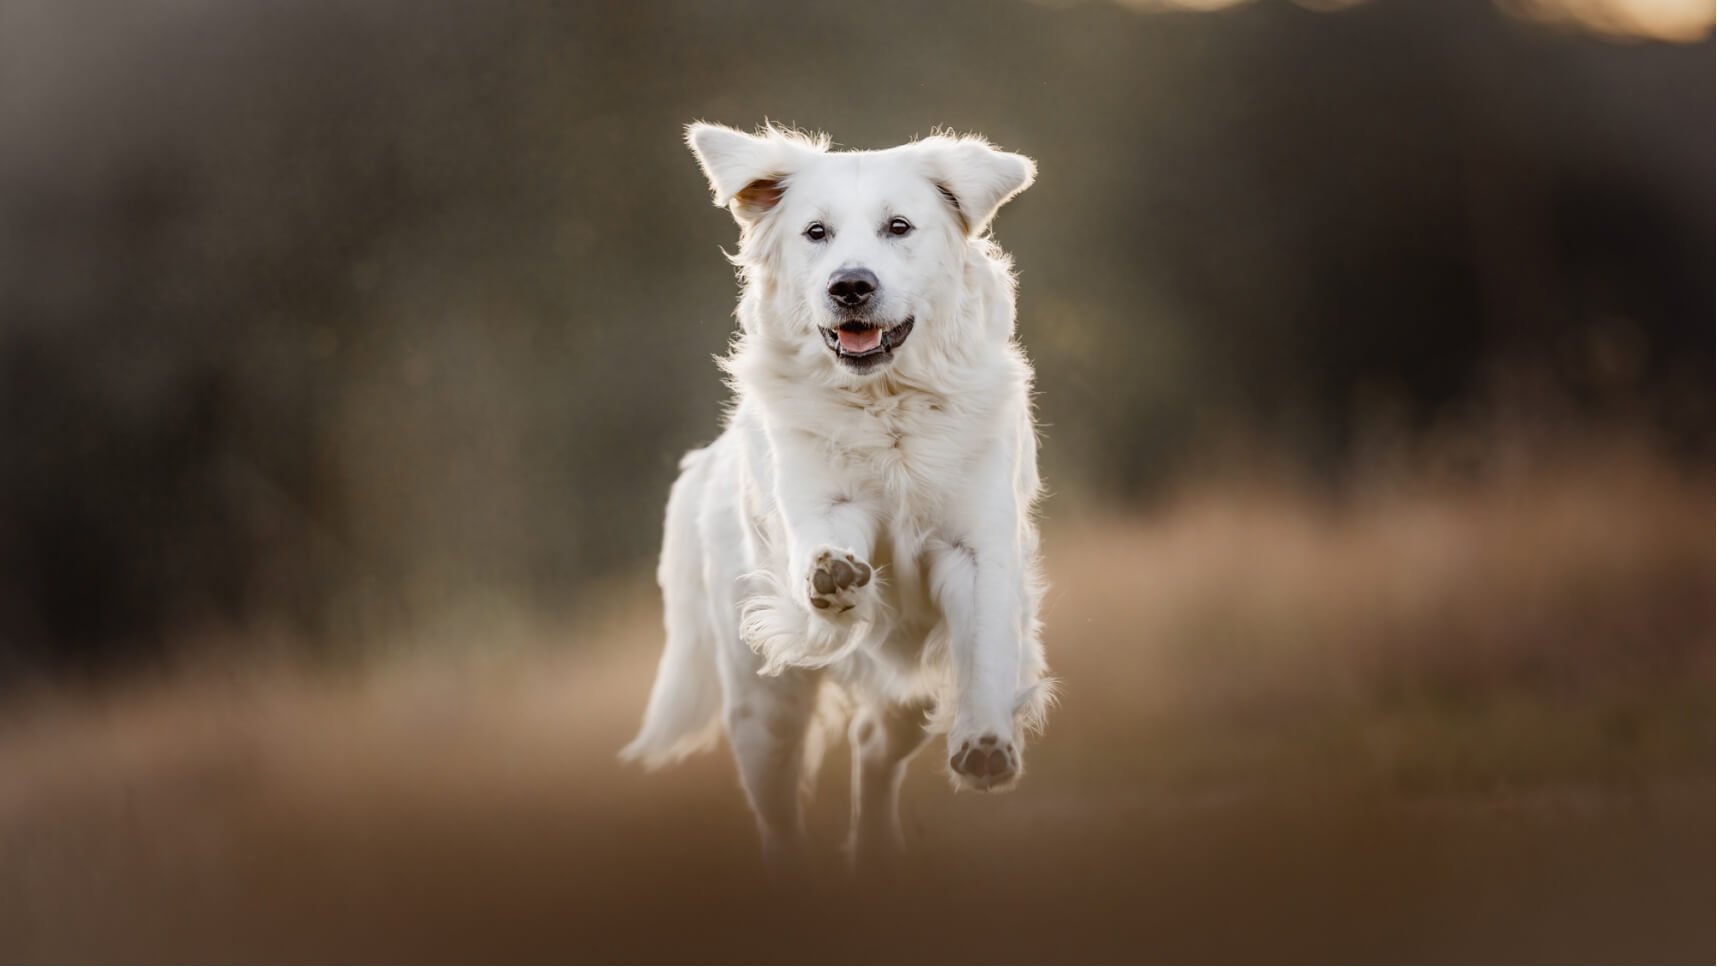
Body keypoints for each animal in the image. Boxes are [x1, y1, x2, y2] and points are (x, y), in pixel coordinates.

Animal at [618, 122, 1043, 869]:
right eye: (815, 232)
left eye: (898, 226)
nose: (850, 285)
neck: (887, 405)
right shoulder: (821, 507)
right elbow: (830, 547)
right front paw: (835, 576)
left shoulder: (978, 549)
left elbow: (988, 648)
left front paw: (985, 744)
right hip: (765, 701)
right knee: (778, 815)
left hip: (904, 693)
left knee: (874, 743)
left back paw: (875, 851)